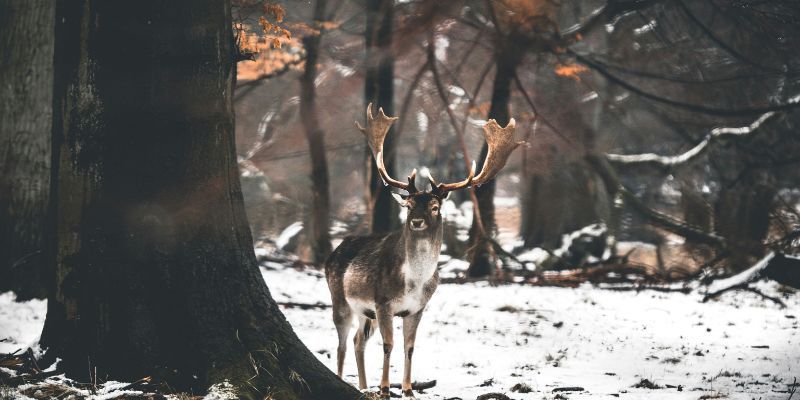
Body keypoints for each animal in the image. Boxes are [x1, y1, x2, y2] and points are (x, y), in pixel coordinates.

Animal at [324, 103, 521, 398]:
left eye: (434, 207)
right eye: (408, 206)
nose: (416, 221)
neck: (415, 281)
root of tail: (335, 250)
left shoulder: (417, 308)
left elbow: (410, 346)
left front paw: (407, 389)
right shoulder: (383, 302)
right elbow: (389, 344)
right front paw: (385, 388)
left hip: (364, 312)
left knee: (359, 340)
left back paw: (362, 385)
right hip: (340, 298)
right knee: (341, 344)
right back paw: (345, 380)